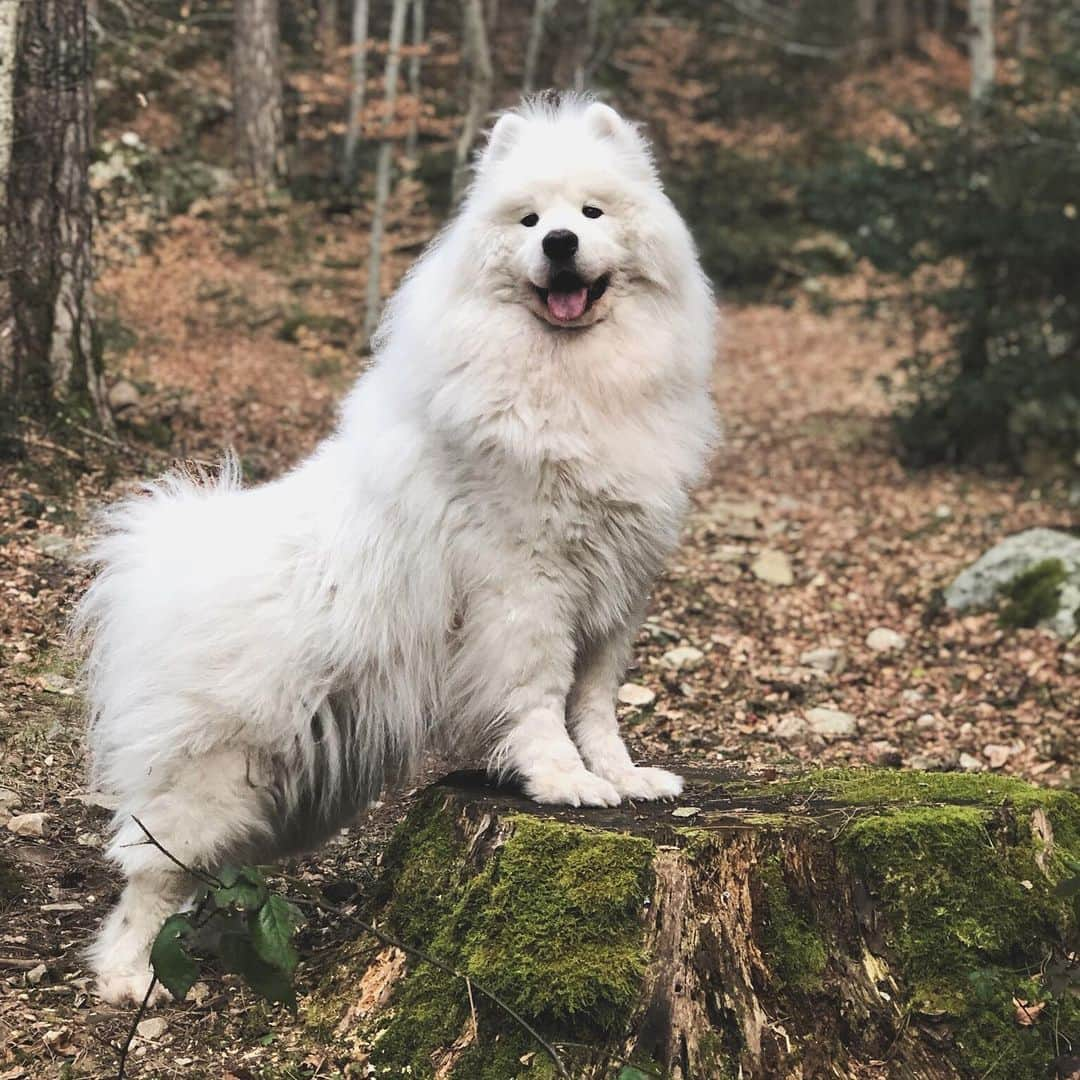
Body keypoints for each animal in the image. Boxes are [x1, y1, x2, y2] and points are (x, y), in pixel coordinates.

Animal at [76, 92, 717, 1002]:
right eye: (529, 220)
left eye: (592, 214)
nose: (560, 244)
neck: (568, 377)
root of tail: (164, 556)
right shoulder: (526, 590)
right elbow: (538, 698)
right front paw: (562, 781)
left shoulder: (616, 596)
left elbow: (594, 703)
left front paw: (622, 777)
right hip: (214, 778)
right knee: (144, 874)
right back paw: (132, 980)